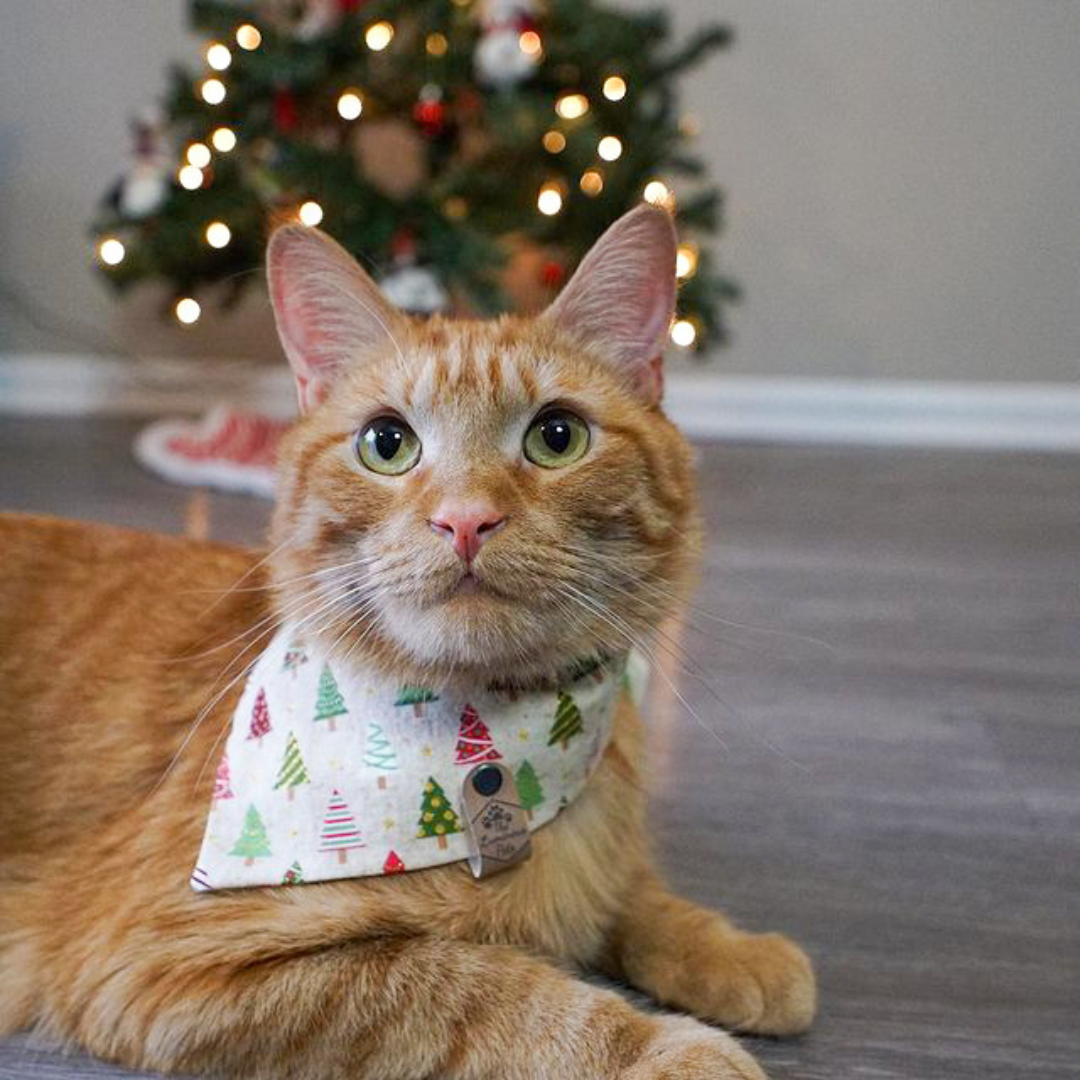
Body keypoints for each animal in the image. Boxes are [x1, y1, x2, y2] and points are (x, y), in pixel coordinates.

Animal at [0, 206, 812, 1075]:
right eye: (387, 444)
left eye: (557, 436)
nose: (466, 520)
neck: (488, 747)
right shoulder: (162, 960)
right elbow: (489, 989)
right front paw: (668, 1048)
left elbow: (630, 893)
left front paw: (731, 950)